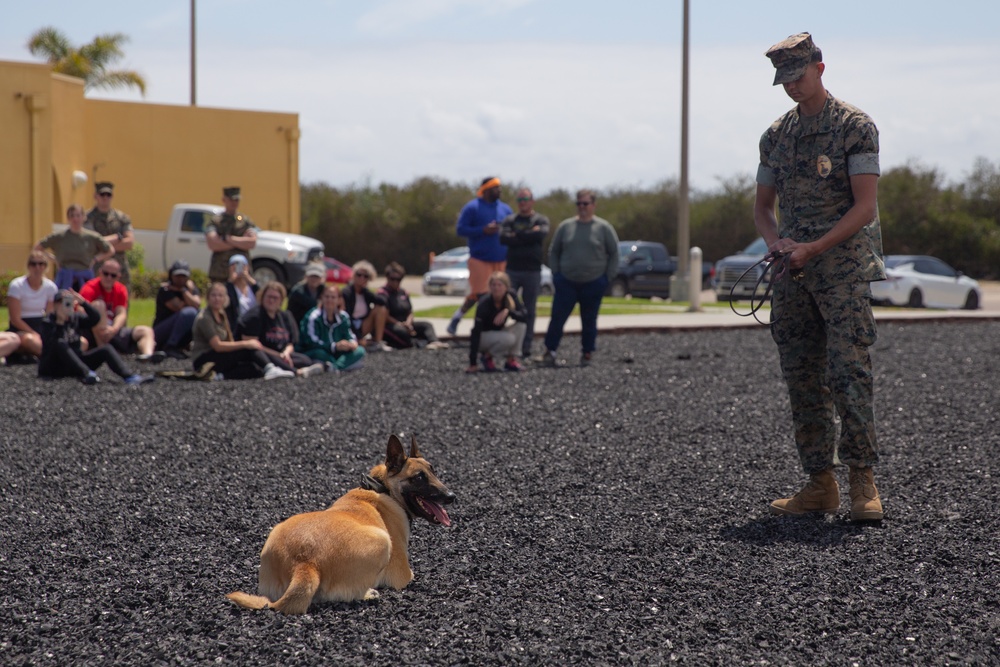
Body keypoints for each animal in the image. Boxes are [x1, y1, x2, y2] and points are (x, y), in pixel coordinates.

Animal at [227, 434, 458, 616]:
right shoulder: (403, 575)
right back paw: (369, 593)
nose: (451, 496)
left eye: (434, 471)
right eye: (419, 478)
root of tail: (305, 563)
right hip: (382, 540)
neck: (383, 488)